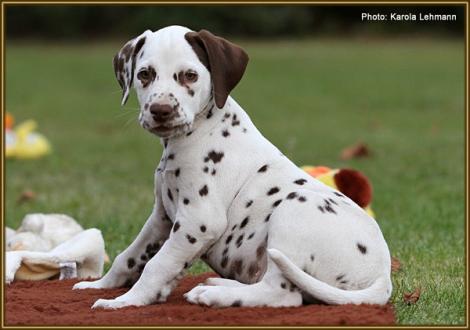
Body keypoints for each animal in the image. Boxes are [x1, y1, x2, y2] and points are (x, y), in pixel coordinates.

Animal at [71, 24, 392, 308]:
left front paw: (126, 301)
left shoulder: (198, 222)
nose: (161, 110)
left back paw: (215, 295)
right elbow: (130, 257)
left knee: (282, 294)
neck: (199, 131)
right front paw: (100, 285)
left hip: (295, 208)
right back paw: (218, 283)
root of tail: (383, 277)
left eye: (189, 76)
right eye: (144, 75)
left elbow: (156, 265)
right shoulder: (161, 217)